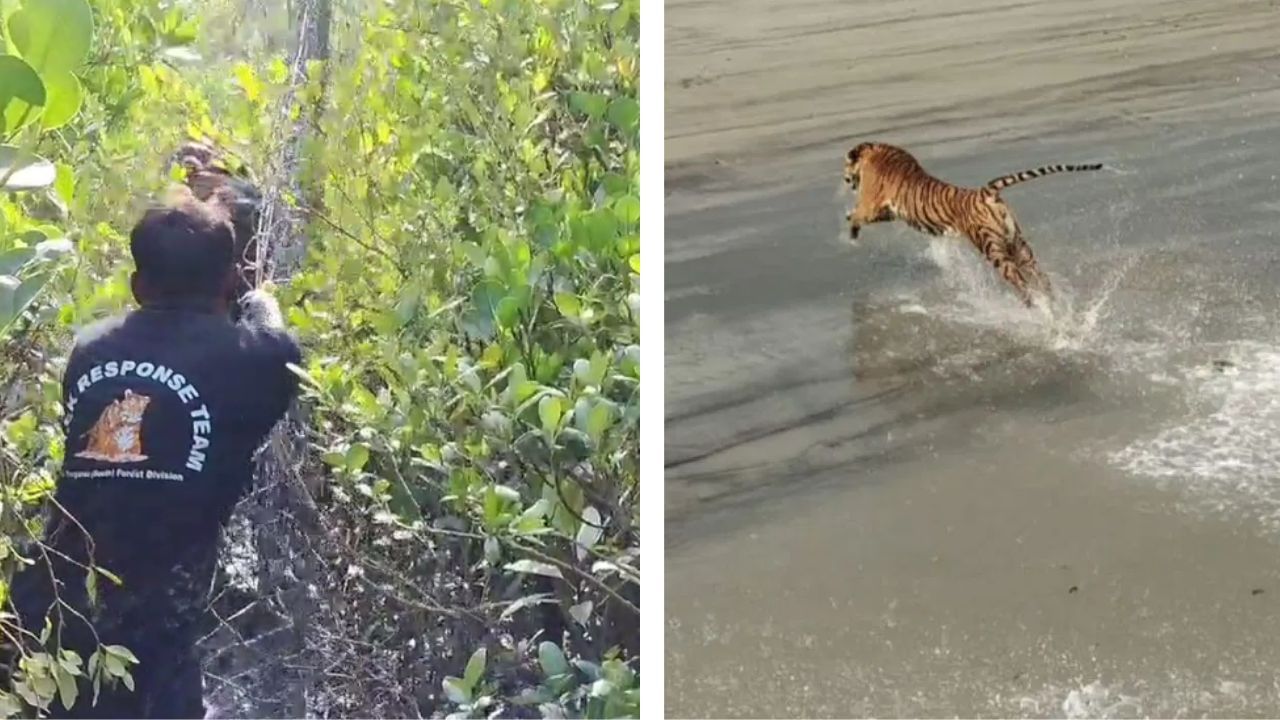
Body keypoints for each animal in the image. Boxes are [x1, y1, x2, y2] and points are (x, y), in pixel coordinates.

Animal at [844, 141, 1105, 307]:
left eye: (845, 166)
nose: (845, 180)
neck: (875, 150)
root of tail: (985, 193)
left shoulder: (870, 205)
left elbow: (857, 215)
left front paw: (850, 233)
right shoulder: (888, 212)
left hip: (994, 250)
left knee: (1022, 285)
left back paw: (1035, 308)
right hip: (1019, 245)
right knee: (1041, 279)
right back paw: (1053, 303)